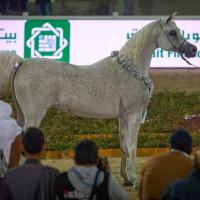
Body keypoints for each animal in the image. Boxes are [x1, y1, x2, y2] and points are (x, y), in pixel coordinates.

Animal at [0, 12, 197, 185]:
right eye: (172, 32)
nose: (193, 49)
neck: (130, 70)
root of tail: (22, 63)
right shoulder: (134, 116)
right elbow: (132, 147)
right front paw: (134, 180)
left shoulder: (123, 118)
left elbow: (124, 147)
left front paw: (126, 178)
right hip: (34, 116)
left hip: (23, 116)